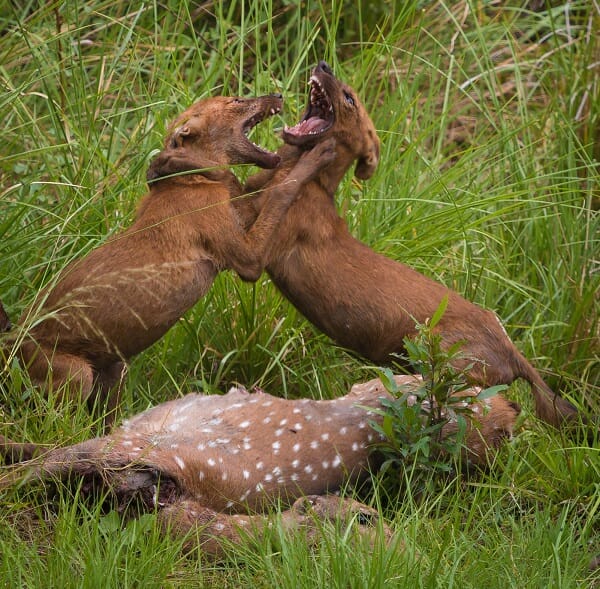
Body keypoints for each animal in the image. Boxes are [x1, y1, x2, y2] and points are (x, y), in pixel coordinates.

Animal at [2, 94, 336, 420]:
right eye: (237, 100)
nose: (278, 94)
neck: (195, 178)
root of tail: (10, 344)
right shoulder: (247, 258)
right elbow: (282, 190)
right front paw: (316, 155)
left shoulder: (241, 213)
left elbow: (267, 183)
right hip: (74, 374)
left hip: (113, 368)